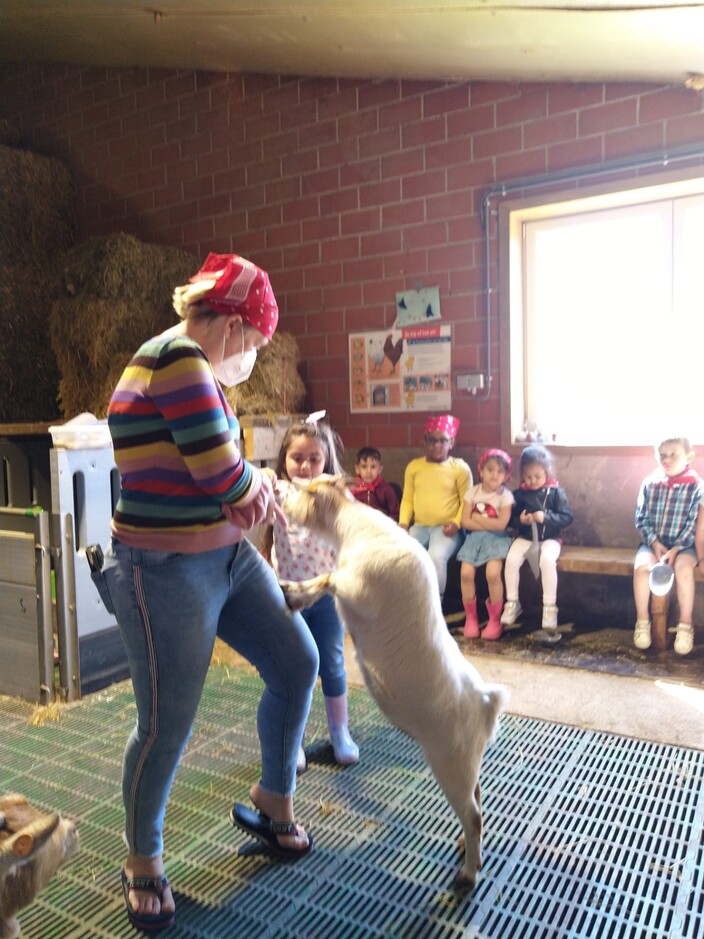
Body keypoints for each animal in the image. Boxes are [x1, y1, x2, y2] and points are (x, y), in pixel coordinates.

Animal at [278, 478, 508, 888]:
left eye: (304, 489)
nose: (279, 486)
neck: (358, 530)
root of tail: (486, 702)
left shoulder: (358, 588)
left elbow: (329, 578)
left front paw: (293, 591)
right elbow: (326, 579)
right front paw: (292, 591)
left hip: (451, 763)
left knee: (474, 813)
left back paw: (468, 873)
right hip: (468, 762)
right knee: (478, 799)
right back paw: (465, 849)